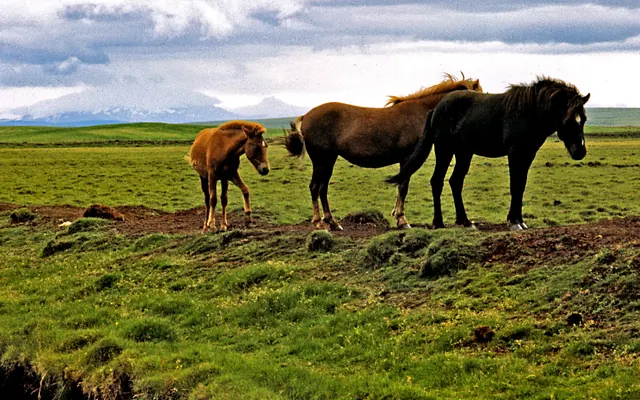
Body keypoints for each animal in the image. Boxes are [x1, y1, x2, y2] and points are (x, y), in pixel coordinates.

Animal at [285, 73, 482, 231]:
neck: (420, 112)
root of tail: (306, 116)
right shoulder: (407, 158)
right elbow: (403, 186)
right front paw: (402, 220)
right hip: (321, 160)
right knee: (315, 187)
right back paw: (319, 222)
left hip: (329, 160)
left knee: (322, 188)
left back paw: (332, 222)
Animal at [386, 77, 590, 231]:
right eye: (568, 119)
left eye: (583, 119)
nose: (580, 151)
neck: (528, 111)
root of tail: (436, 109)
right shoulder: (514, 152)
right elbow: (515, 185)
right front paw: (514, 222)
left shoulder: (528, 154)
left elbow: (521, 185)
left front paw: (520, 221)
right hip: (445, 150)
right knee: (437, 181)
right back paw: (438, 223)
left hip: (464, 153)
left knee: (455, 181)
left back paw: (465, 221)